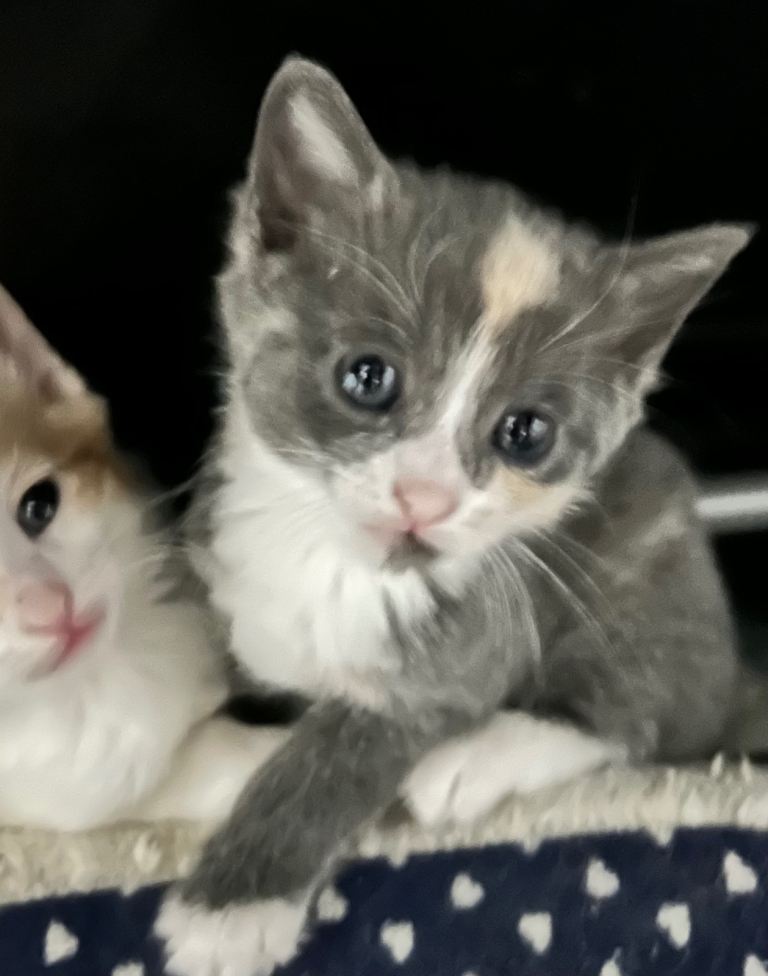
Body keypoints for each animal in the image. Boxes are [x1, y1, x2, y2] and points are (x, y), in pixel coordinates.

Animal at [156, 57, 750, 976]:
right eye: (368, 378)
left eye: (525, 433)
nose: (424, 498)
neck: (330, 566)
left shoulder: (466, 655)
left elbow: (343, 746)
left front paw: (231, 906)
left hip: (648, 574)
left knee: (644, 712)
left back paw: (474, 761)